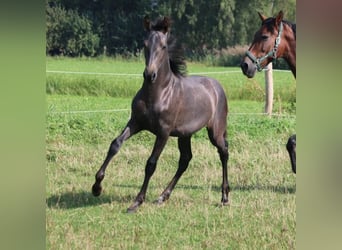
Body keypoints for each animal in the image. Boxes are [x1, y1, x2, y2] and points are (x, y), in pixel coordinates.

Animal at [91, 15, 230, 212]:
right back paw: (162, 196)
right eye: (144, 44)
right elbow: (115, 145)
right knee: (185, 160)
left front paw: (136, 202)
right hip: (184, 135)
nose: (150, 74)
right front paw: (96, 187)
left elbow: (151, 163)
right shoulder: (135, 123)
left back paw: (225, 197)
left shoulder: (163, 133)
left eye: (163, 46)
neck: (158, 94)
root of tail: (217, 86)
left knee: (223, 152)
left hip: (215, 131)